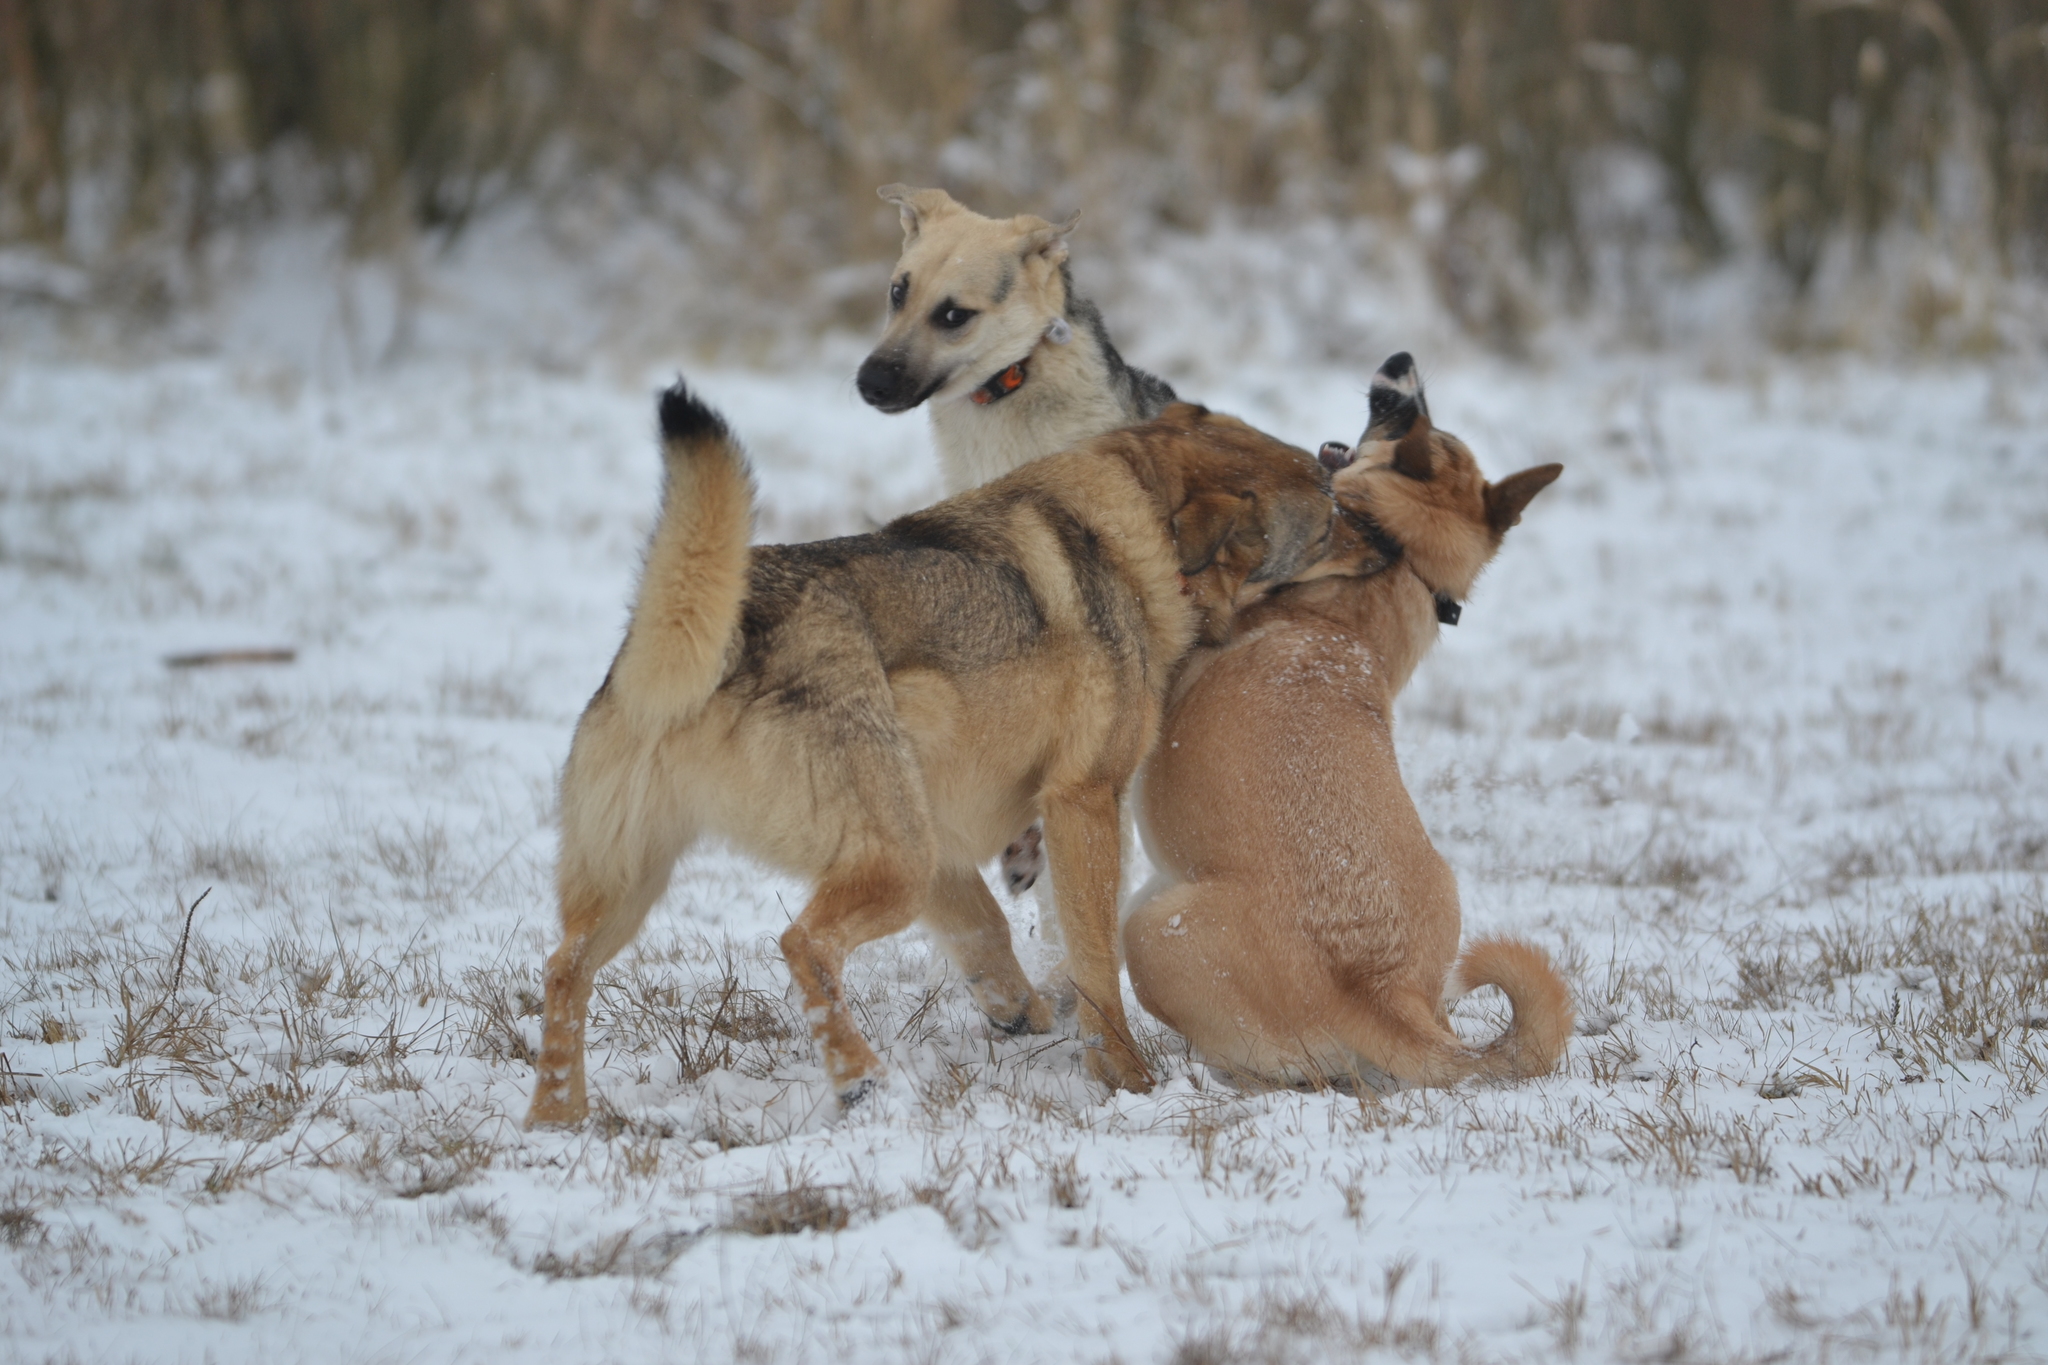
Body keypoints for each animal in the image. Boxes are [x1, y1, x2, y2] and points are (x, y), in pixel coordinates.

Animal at [520, 376, 1335, 1121]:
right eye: (1328, 515)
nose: (1338, 458)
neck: (1132, 526)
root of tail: (719, 637)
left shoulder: (947, 830)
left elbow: (989, 932)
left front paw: (1018, 1010)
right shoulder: (1083, 800)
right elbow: (1098, 964)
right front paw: (1127, 1079)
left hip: (640, 881)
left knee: (563, 968)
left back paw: (557, 1117)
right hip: (891, 866)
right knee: (803, 944)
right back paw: (859, 1080)